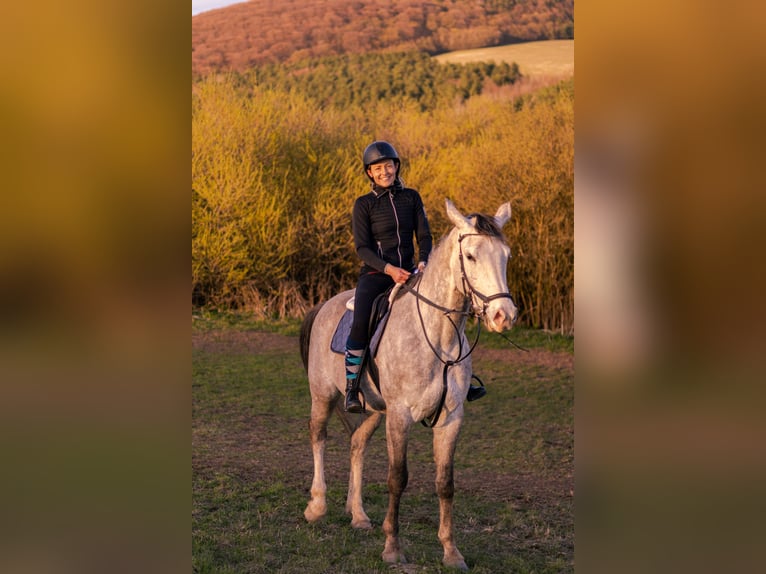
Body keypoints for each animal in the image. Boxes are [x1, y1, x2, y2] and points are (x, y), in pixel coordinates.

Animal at [300, 199, 519, 570]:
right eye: (471, 256)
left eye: (505, 255)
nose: (504, 315)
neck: (438, 338)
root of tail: (326, 304)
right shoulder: (400, 416)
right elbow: (397, 478)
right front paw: (392, 548)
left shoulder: (450, 418)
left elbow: (445, 483)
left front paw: (451, 552)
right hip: (323, 395)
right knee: (319, 437)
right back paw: (317, 506)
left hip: (375, 409)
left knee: (357, 444)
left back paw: (358, 514)